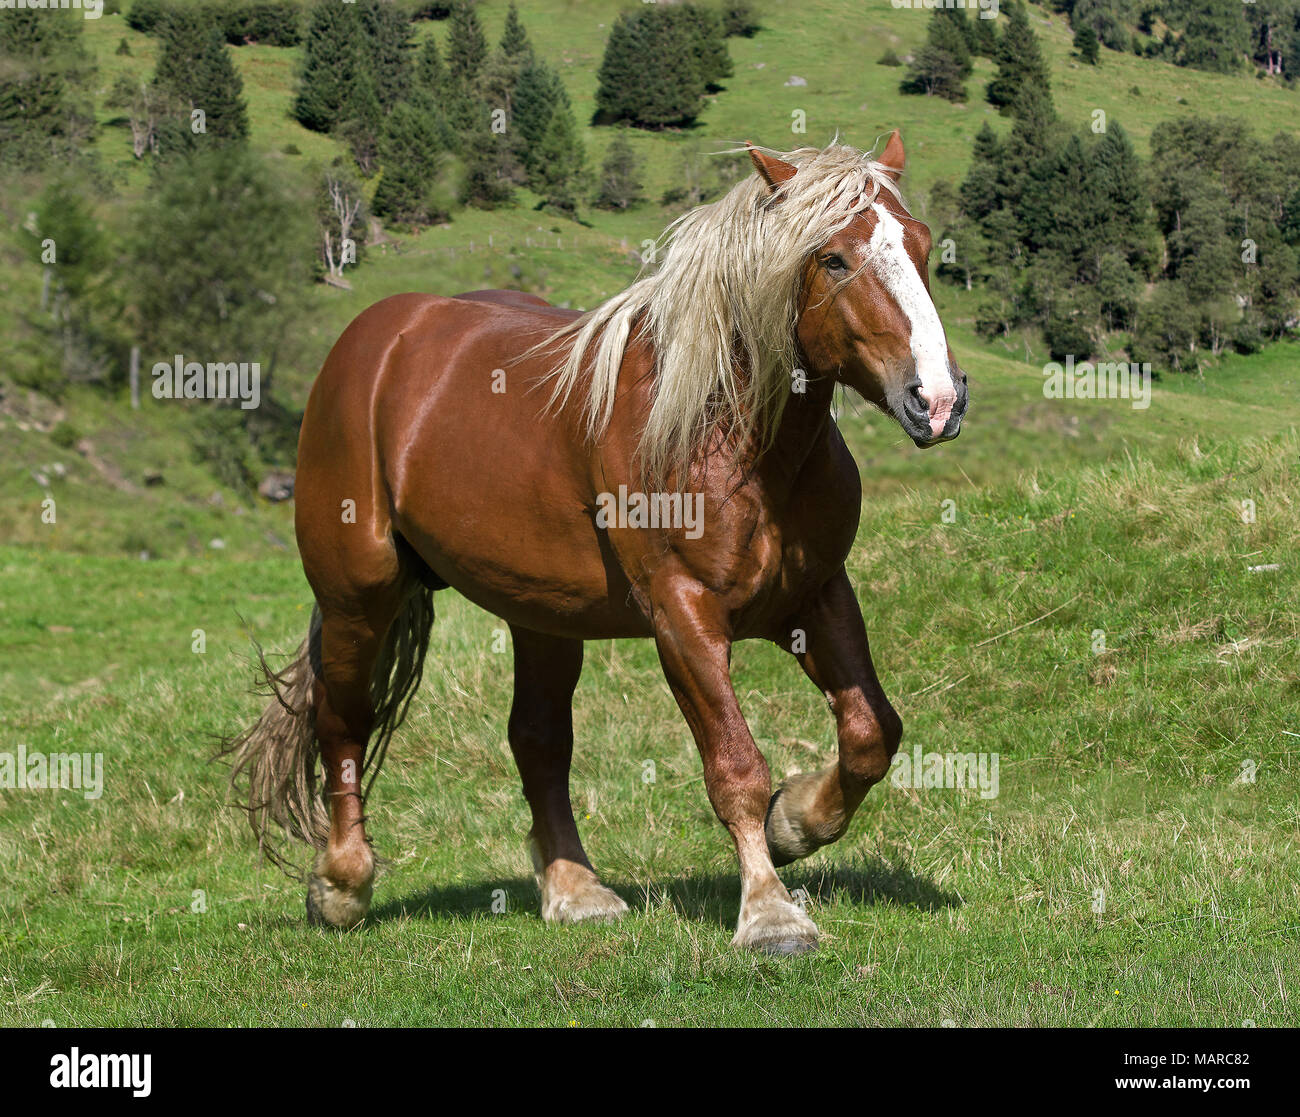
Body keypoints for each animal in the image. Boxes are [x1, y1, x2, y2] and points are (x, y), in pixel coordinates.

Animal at [226, 131, 967, 951]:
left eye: (923, 246)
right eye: (833, 258)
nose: (936, 399)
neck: (728, 438)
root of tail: (373, 340)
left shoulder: (817, 595)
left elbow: (871, 733)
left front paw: (794, 823)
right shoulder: (682, 615)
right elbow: (734, 764)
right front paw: (770, 912)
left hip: (541, 614)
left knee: (537, 739)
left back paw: (574, 888)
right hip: (358, 596)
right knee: (344, 722)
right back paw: (342, 883)